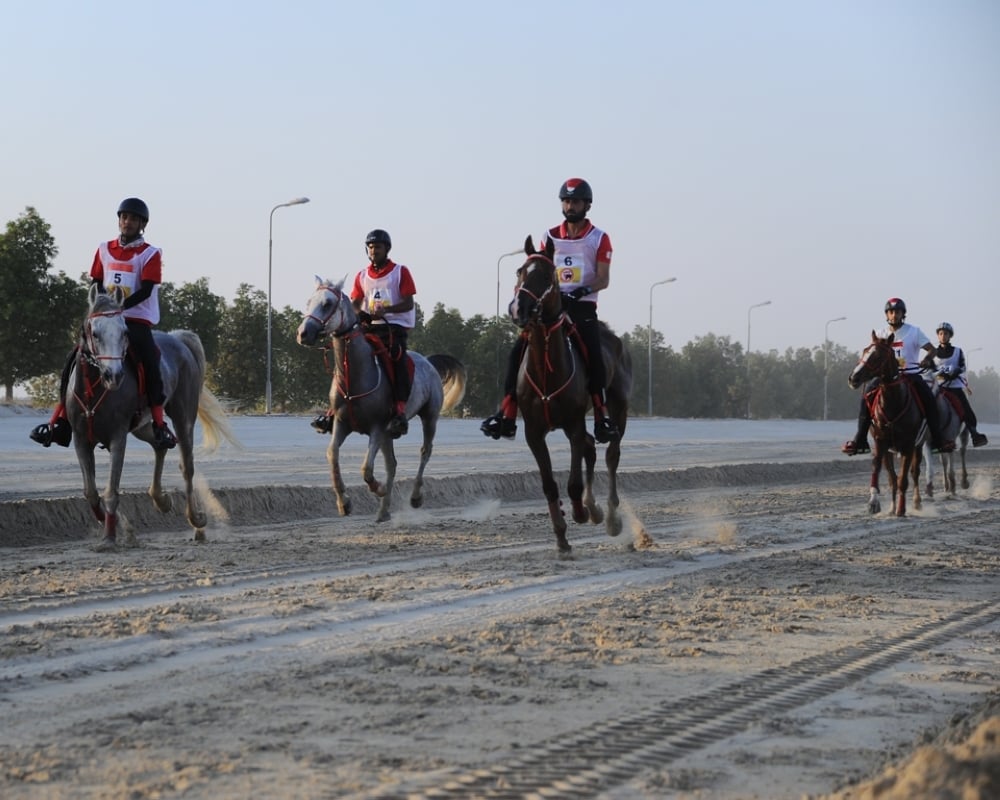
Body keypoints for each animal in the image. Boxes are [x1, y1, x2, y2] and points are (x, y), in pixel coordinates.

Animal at [68, 282, 238, 552]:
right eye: (94, 333)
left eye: (124, 332)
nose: (114, 375)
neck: (95, 391)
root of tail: (179, 338)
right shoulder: (80, 438)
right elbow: (90, 492)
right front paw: (117, 526)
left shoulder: (118, 437)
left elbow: (111, 490)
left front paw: (109, 537)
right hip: (142, 425)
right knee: (160, 445)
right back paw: (161, 500)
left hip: (183, 415)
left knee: (186, 465)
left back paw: (197, 522)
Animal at [296, 276, 468, 524]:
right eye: (309, 301)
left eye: (327, 303)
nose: (303, 333)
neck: (356, 376)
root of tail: (428, 361)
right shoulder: (342, 424)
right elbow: (332, 456)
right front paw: (344, 503)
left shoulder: (377, 428)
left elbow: (366, 468)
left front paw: (378, 489)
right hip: (389, 433)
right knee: (392, 465)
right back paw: (383, 511)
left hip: (429, 417)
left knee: (425, 451)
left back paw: (415, 497)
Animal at [512, 234, 628, 552]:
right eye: (520, 272)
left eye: (545, 275)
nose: (519, 309)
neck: (546, 370)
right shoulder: (534, 432)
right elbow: (549, 484)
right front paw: (561, 536)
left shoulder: (574, 424)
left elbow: (573, 482)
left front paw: (580, 513)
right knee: (590, 446)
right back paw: (595, 508)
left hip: (618, 406)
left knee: (611, 453)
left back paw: (610, 516)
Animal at [848, 332, 932, 520]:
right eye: (865, 350)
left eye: (878, 355)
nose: (853, 378)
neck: (893, 402)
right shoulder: (881, 442)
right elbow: (880, 470)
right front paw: (875, 504)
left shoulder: (908, 445)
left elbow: (903, 479)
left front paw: (901, 509)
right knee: (892, 476)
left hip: (919, 445)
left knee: (914, 473)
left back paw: (916, 502)